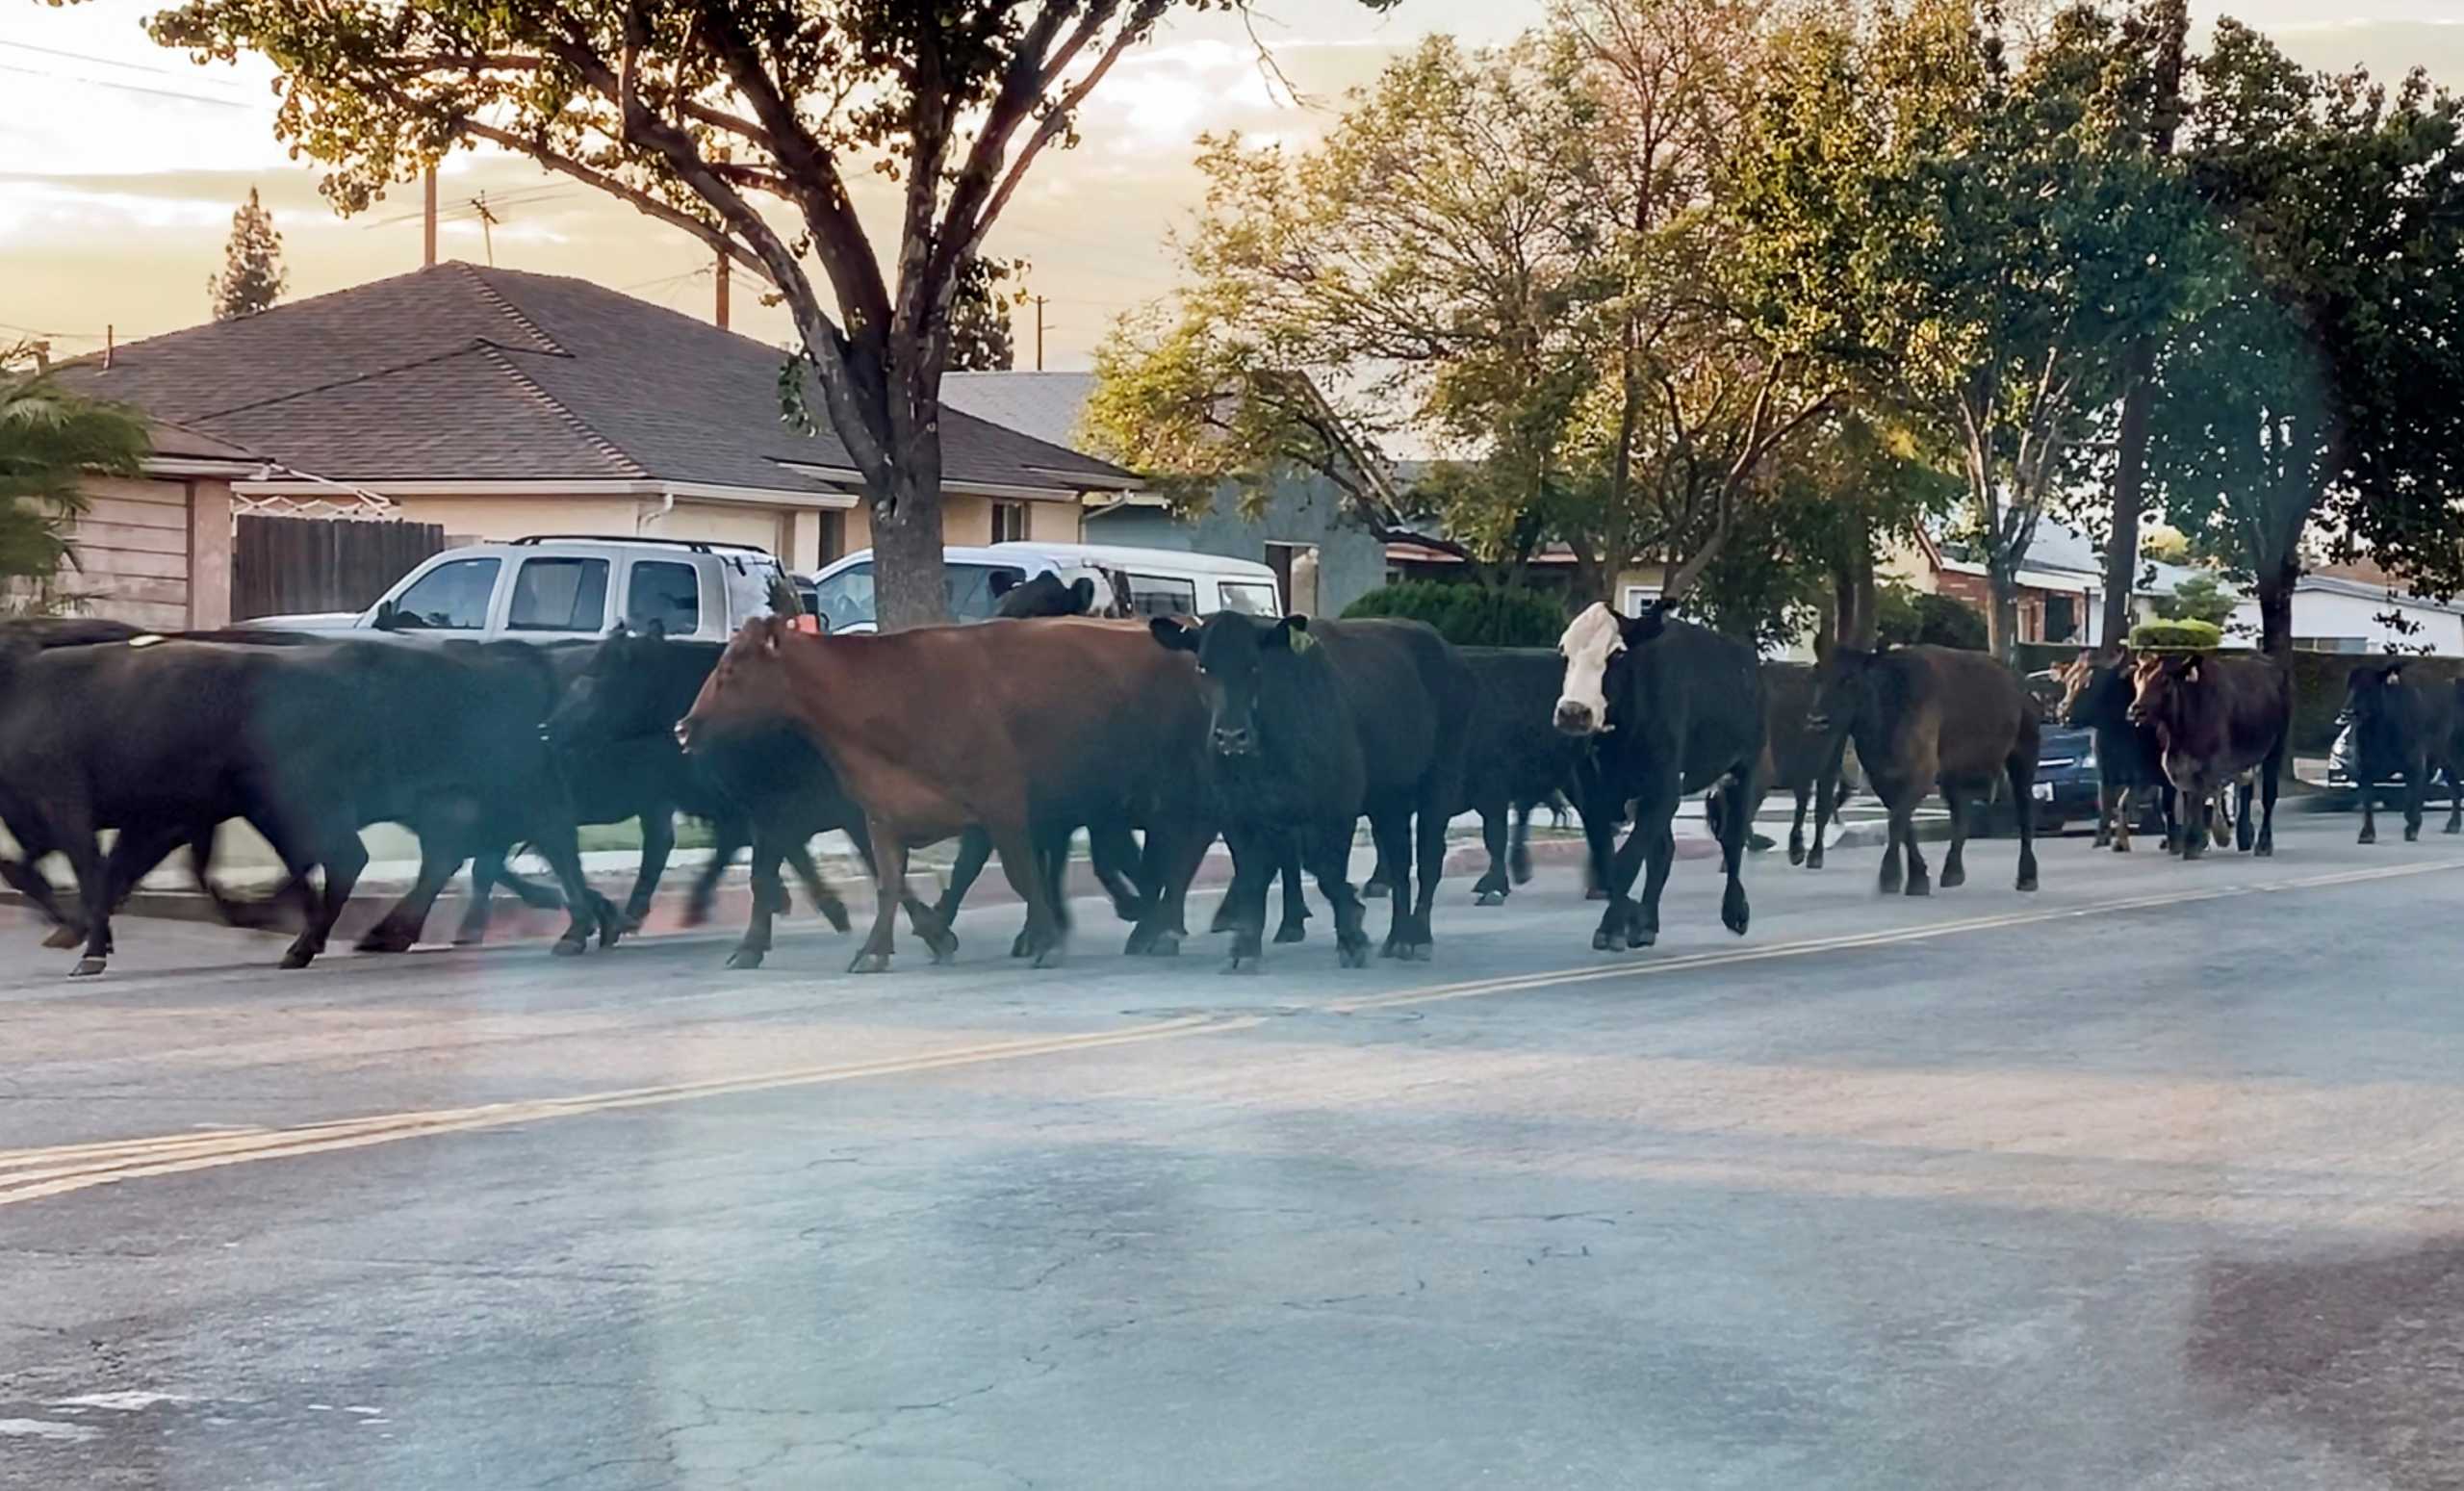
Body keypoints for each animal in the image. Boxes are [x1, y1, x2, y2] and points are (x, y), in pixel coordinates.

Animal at [680, 613, 1207, 970]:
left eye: (730, 670)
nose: (683, 727)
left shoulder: (1002, 804)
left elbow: (1021, 874)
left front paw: (1047, 941)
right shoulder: (879, 812)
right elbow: (889, 883)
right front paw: (874, 951)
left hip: (1178, 788)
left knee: (1183, 850)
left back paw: (1157, 928)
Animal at [1547, 599, 1763, 946]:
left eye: (1617, 654)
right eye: (1565, 652)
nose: (1573, 712)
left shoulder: (1664, 789)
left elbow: (1627, 860)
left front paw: (1611, 927)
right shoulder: (1591, 795)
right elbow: (1610, 862)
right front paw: (1630, 916)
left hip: (1743, 770)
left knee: (1732, 840)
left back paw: (1735, 911)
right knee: (1663, 849)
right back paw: (1647, 922)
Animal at [1813, 640, 2040, 896]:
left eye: (1849, 679)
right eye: (1818, 676)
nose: (1817, 719)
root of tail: (2020, 682)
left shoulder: (1921, 775)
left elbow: (1897, 822)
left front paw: (1889, 877)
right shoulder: (1883, 780)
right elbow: (1904, 825)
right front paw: (1918, 878)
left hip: (2022, 758)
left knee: (2025, 809)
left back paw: (2027, 877)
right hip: (1955, 775)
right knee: (1961, 815)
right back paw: (1952, 873)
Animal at [2118, 656, 2286, 862]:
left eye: (2166, 680)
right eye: (2138, 677)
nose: (2136, 710)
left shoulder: (2208, 767)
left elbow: (2199, 800)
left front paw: (2195, 843)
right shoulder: (2179, 769)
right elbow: (2188, 802)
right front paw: (2193, 842)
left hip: (2275, 750)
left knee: (2268, 797)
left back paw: (2263, 844)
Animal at [2335, 660, 2453, 842]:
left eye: (2369, 687)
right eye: (2349, 687)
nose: (2346, 712)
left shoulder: (2414, 763)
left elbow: (2412, 794)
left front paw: (2412, 828)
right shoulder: (2365, 766)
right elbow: (2368, 800)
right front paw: (2367, 834)